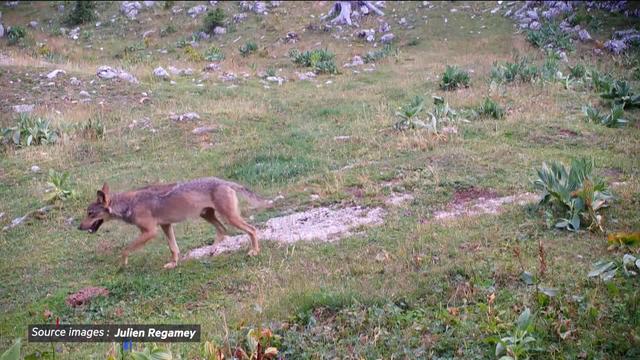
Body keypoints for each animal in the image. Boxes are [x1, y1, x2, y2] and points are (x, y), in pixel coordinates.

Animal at [79, 179, 266, 268]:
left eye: (90, 213)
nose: (79, 227)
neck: (129, 204)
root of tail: (224, 181)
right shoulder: (165, 226)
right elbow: (173, 248)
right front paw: (173, 264)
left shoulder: (150, 232)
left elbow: (125, 249)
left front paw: (122, 265)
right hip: (207, 215)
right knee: (223, 230)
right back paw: (212, 251)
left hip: (229, 217)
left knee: (252, 229)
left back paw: (254, 252)